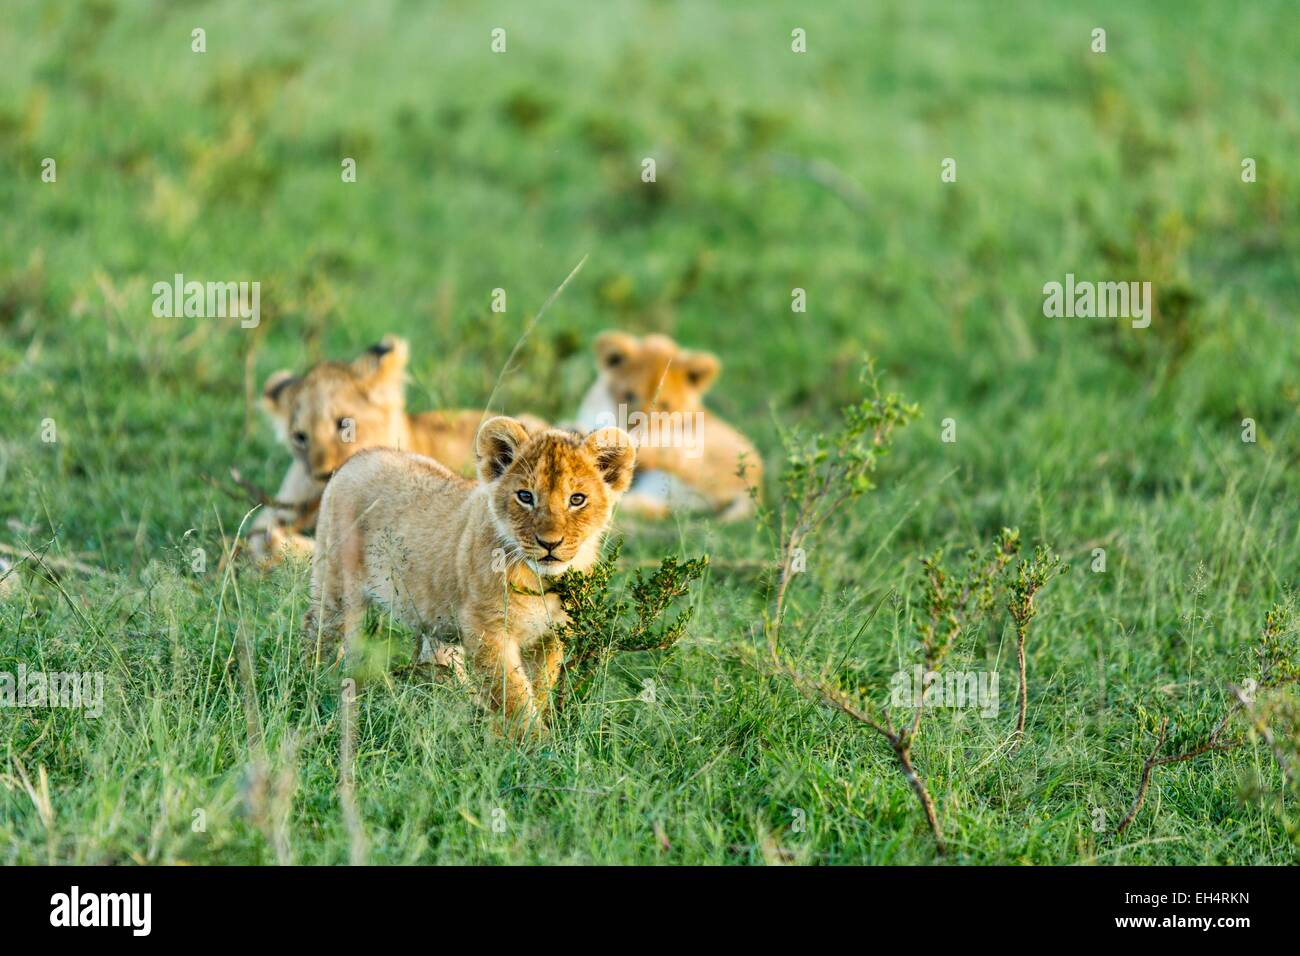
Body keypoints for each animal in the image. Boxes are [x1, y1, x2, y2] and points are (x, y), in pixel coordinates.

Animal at [306, 417, 635, 739]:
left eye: (577, 499)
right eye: (525, 496)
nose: (549, 543)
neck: (541, 582)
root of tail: (360, 456)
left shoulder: (551, 636)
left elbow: (540, 687)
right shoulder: (487, 629)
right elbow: (513, 695)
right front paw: (536, 745)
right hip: (335, 587)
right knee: (319, 633)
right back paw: (315, 682)